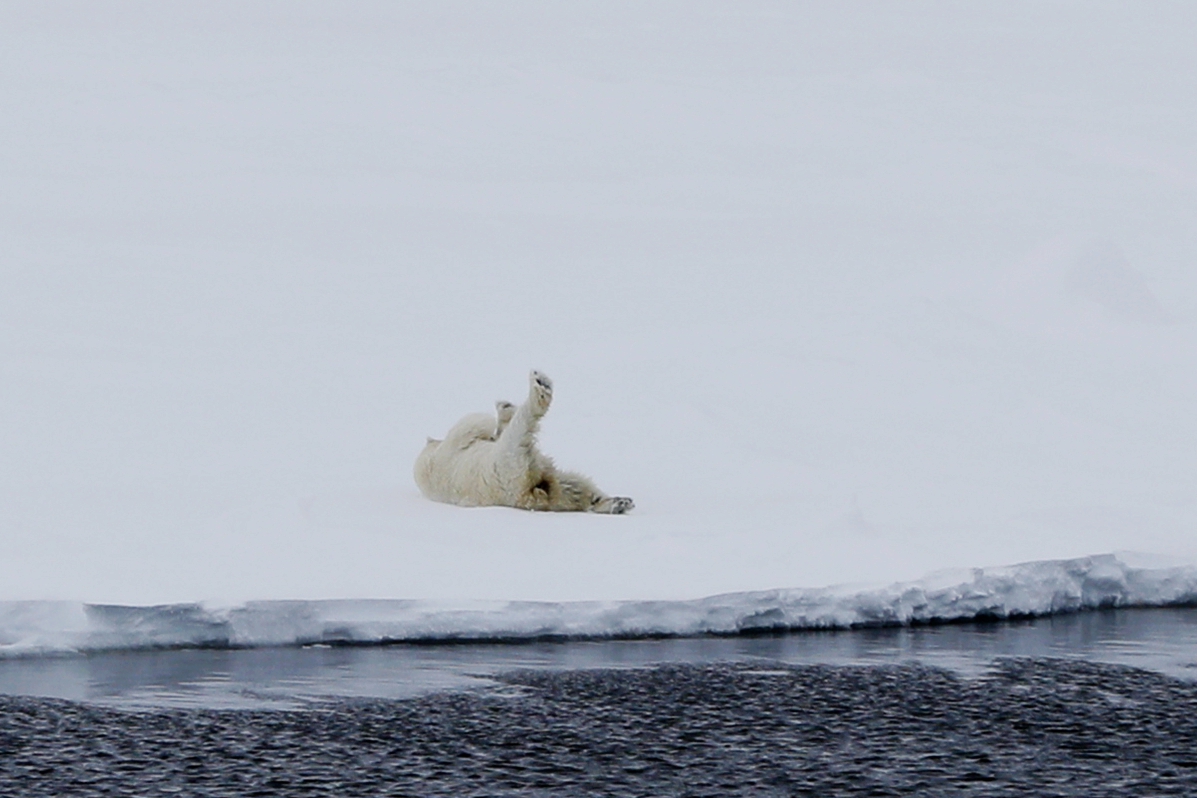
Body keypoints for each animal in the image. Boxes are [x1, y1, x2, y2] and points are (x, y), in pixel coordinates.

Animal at [414, 373, 636, 514]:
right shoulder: (455, 442)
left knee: (574, 486)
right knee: (523, 426)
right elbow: (477, 421)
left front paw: (503, 408)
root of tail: (527, 495)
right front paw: (503, 409)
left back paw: (617, 502)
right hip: (509, 461)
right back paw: (539, 386)